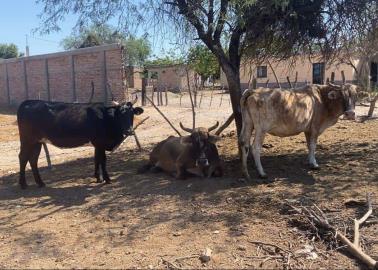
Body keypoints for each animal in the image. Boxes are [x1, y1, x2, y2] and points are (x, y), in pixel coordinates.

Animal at [16, 98, 144, 189]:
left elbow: (96, 158)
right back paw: (23, 184)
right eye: (120, 114)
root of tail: (28, 102)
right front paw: (107, 179)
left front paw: (98, 178)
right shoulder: (100, 142)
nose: (129, 131)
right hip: (27, 139)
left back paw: (40, 183)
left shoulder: (97, 144)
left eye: (132, 114)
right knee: (23, 157)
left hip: (37, 142)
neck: (107, 118)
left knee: (33, 159)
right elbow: (103, 160)